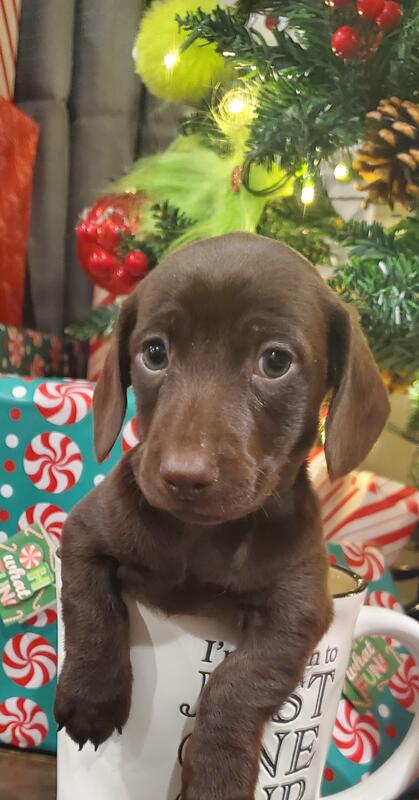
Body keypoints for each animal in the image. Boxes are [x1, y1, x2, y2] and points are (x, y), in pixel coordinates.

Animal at [55, 233, 390, 800]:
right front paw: (92, 696)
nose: (183, 475)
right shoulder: (82, 533)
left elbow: (240, 681)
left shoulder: (299, 610)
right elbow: (93, 608)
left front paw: (218, 770)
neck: (200, 539)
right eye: (154, 353)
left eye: (274, 361)